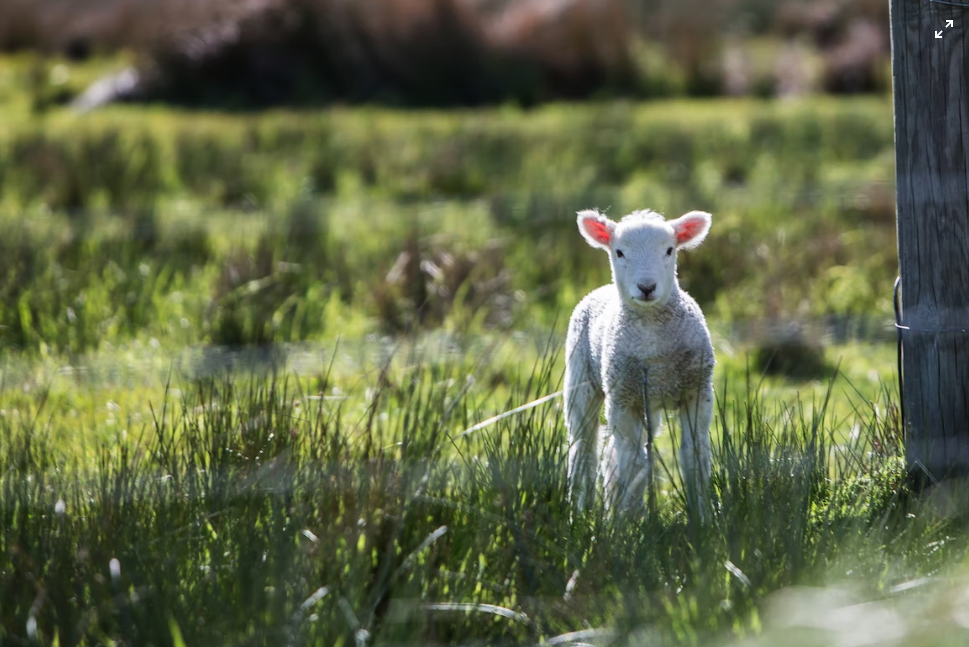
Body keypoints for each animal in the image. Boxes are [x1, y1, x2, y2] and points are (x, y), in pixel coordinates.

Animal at [564, 210, 716, 512]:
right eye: (619, 252)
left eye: (669, 250)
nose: (646, 287)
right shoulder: (623, 400)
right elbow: (633, 464)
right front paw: (630, 519)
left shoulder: (697, 392)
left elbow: (694, 456)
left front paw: (702, 515)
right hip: (581, 380)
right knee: (584, 447)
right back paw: (582, 509)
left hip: (648, 402)